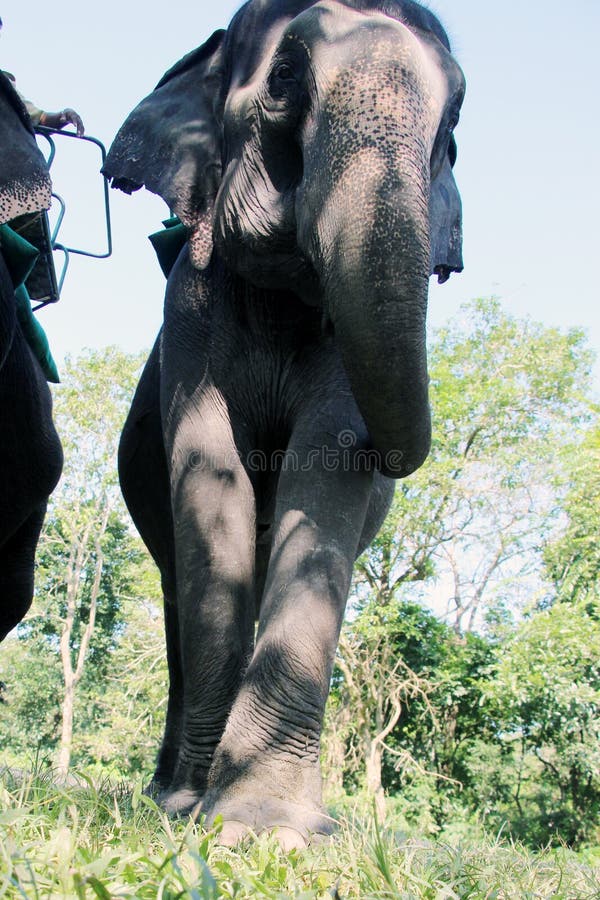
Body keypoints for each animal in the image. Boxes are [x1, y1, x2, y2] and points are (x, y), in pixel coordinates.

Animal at [105, 0, 466, 844]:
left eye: (456, 125)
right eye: (285, 78)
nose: (395, 458)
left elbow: (325, 468)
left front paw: (269, 826)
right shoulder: (188, 316)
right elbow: (213, 483)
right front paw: (198, 813)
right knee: (178, 591)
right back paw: (167, 790)